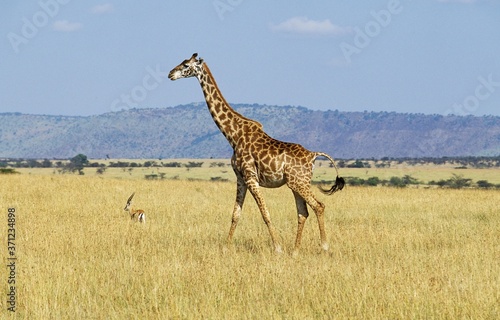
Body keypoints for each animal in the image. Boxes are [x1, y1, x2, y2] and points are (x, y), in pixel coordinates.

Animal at [169, 53, 344, 255]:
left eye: (186, 65)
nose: (170, 74)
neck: (233, 135)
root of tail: (313, 155)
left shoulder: (251, 177)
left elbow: (265, 213)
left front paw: (277, 248)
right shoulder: (241, 178)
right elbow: (236, 214)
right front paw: (226, 248)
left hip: (299, 182)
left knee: (319, 206)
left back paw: (324, 247)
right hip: (295, 184)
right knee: (303, 213)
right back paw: (295, 251)